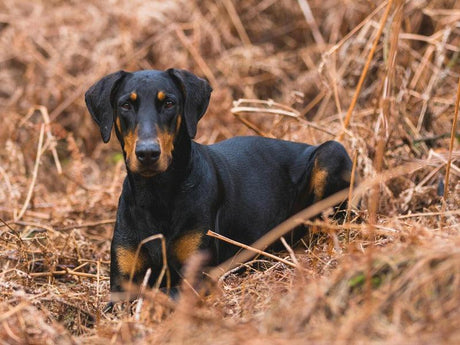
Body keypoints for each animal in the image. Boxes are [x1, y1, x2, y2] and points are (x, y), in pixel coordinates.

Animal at [85, 68, 352, 300]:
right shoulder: (121, 284)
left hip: (331, 153)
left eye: (169, 103)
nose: (148, 153)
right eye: (126, 105)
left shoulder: (196, 275)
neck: (157, 194)